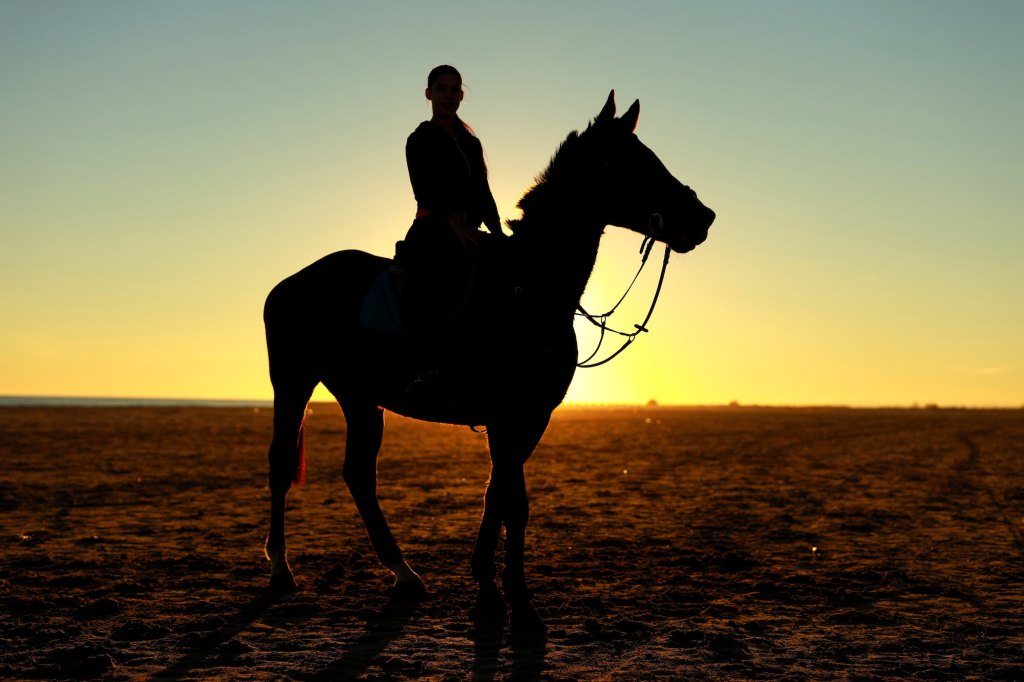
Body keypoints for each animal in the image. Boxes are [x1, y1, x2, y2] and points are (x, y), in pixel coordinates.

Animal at [262, 91, 715, 637]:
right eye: (629, 162)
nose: (703, 216)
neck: (529, 286)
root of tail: (290, 282)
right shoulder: (506, 415)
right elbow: (513, 502)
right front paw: (519, 604)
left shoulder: (531, 417)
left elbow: (498, 495)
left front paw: (487, 589)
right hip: (293, 381)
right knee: (281, 463)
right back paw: (281, 569)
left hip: (360, 397)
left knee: (359, 475)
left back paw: (405, 574)